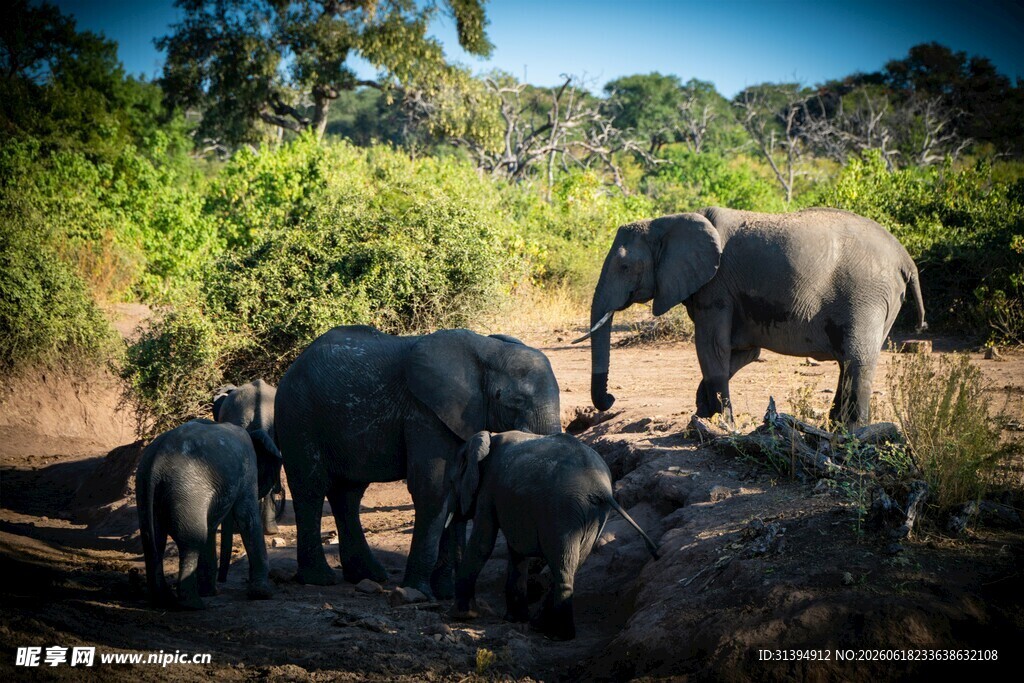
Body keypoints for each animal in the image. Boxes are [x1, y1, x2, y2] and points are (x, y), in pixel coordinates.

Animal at [135, 419, 282, 609]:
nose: (223, 579)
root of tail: (154, 466)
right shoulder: (248, 469)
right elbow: (247, 517)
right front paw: (262, 594)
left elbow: (212, 528)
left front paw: (210, 593)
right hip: (187, 492)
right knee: (191, 541)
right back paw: (193, 605)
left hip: (146, 489)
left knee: (153, 541)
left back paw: (163, 601)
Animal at [274, 325, 562, 598]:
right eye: (515, 401)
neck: (489, 352)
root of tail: (291, 368)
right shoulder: (425, 412)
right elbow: (434, 489)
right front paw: (420, 592)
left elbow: (455, 493)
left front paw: (445, 593)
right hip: (298, 416)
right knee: (311, 489)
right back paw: (320, 579)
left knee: (348, 494)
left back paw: (368, 575)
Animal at [445, 430, 659, 641]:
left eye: (451, 482)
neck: (486, 441)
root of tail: (600, 486)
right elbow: (516, 551)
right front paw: (514, 619)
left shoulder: (488, 487)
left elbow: (483, 543)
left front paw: (463, 616)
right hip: (591, 514)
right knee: (572, 562)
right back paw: (542, 627)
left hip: (563, 510)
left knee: (562, 563)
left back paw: (558, 635)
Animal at [577, 207, 927, 427]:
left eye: (624, 267)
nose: (609, 399)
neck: (666, 221)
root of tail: (906, 259)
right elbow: (740, 353)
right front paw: (704, 414)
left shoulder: (716, 286)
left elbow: (712, 348)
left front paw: (722, 423)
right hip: (883, 300)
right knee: (848, 360)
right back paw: (837, 427)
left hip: (866, 294)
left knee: (857, 359)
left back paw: (852, 432)